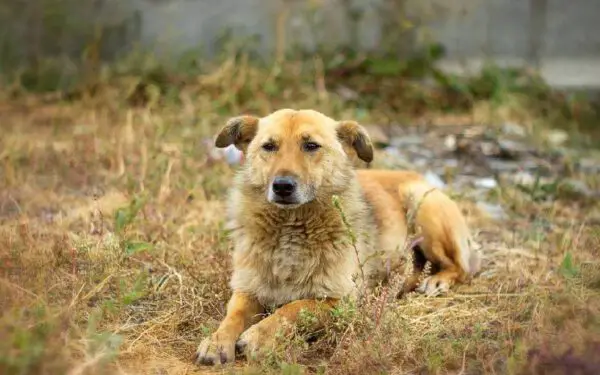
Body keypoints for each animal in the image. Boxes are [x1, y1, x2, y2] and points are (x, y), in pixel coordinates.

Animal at [195, 108, 480, 368]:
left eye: (311, 146)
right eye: (269, 146)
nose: (282, 186)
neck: (290, 227)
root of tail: (414, 174)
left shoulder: (341, 300)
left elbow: (295, 307)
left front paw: (259, 336)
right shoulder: (247, 288)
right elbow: (233, 315)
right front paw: (216, 340)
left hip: (423, 210)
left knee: (460, 266)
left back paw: (437, 281)